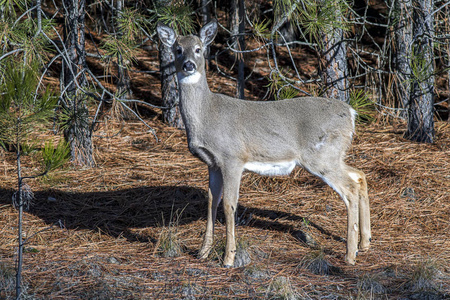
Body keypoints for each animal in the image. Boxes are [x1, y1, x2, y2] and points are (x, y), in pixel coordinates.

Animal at [156, 19, 370, 268]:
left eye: (199, 49)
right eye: (178, 49)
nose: (189, 65)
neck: (208, 115)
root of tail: (351, 113)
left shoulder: (232, 157)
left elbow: (229, 204)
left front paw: (228, 257)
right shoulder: (212, 163)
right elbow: (211, 201)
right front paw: (203, 252)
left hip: (321, 156)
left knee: (350, 189)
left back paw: (350, 254)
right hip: (334, 155)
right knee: (360, 175)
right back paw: (365, 243)